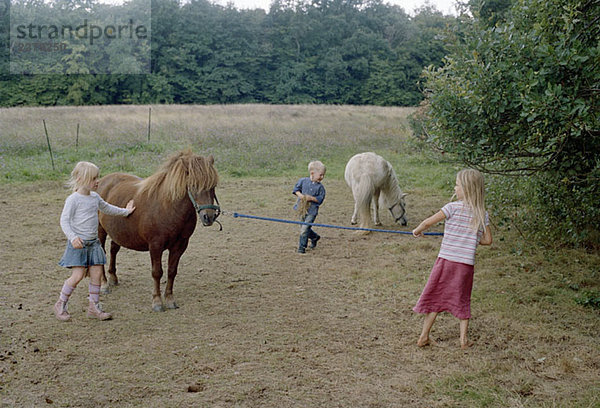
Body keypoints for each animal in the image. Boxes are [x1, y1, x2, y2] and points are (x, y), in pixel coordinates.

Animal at [96, 151, 220, 312]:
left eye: (213, 185)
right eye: (193, 185)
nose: (208, 217)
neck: (167, 207)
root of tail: (102, 182)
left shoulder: (180, 246)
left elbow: (172, 271)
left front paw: (170, 299)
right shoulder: (155, 245)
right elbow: (157, 272)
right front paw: (157, 302)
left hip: (118, 232)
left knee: (113, 250)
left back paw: (113, 278)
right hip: (100, 230)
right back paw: (104, 284)